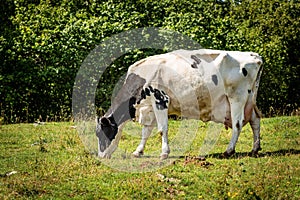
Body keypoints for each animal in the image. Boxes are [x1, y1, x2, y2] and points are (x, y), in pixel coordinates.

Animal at [95, 48, 262, 159]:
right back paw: (255, 148)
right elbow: (146, 131)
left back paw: (229, 150)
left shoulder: (161, 100)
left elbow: (162, 129)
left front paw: (164, 153)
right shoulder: (149, 107)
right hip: (249, 100)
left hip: (237, 97)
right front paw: (138, 151)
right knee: (255, 120)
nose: (101, 156)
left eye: (101, 133)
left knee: (237, 124)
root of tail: (253, 55)